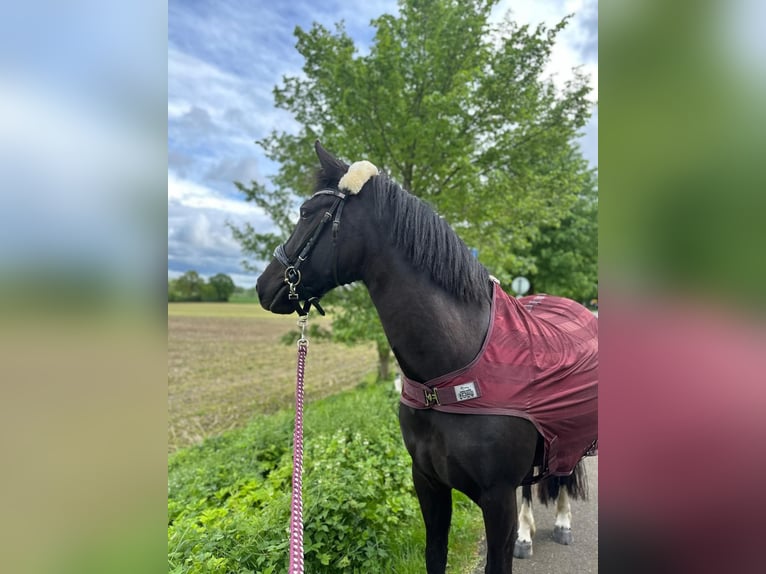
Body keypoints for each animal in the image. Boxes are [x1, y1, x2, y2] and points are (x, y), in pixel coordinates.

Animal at [258, 142, 600, 572]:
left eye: (306, 213)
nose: (263, 285)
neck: (450, 374)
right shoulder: (428, 482)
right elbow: (434, 553)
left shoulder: (497, 498)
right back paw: (528, 534)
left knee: (566, 472)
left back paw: (563, 523)